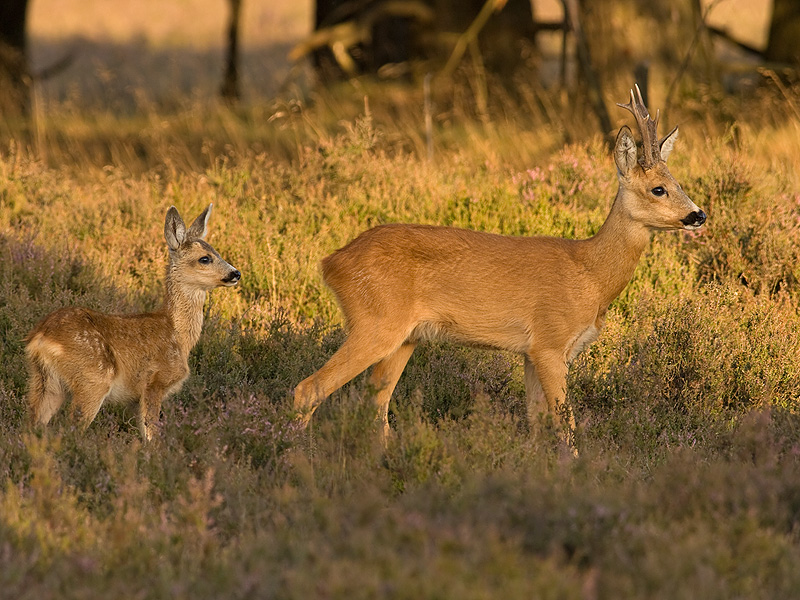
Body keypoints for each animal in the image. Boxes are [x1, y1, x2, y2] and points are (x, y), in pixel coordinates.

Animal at [25, 204, 241, 438]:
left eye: (217, 252)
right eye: (205, 258)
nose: (236, 273)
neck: (177, 335)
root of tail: (40, 338)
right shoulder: (155, 381)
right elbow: (152, 434)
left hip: (44, 381)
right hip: (93, 378)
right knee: (70, 427)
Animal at [294, 86, 708, 448]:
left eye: (678, 182)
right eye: (658, 188)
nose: (698, 215)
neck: (589, 274)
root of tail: (331, 262)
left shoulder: (530, 353)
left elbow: (537, 423)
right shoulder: (549, 342)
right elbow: (566, 425)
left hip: (404, 339)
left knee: (376, 405)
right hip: (375, 322)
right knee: (308, 390)